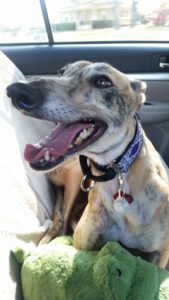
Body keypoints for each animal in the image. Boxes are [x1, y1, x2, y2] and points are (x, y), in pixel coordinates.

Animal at [6, 60, 169, 268]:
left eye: (103, 82)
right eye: (61, 72)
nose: (16, 90)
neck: (121, 177)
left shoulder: (161, 253)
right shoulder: (83, 243)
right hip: (76, 176)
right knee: (60, 224)